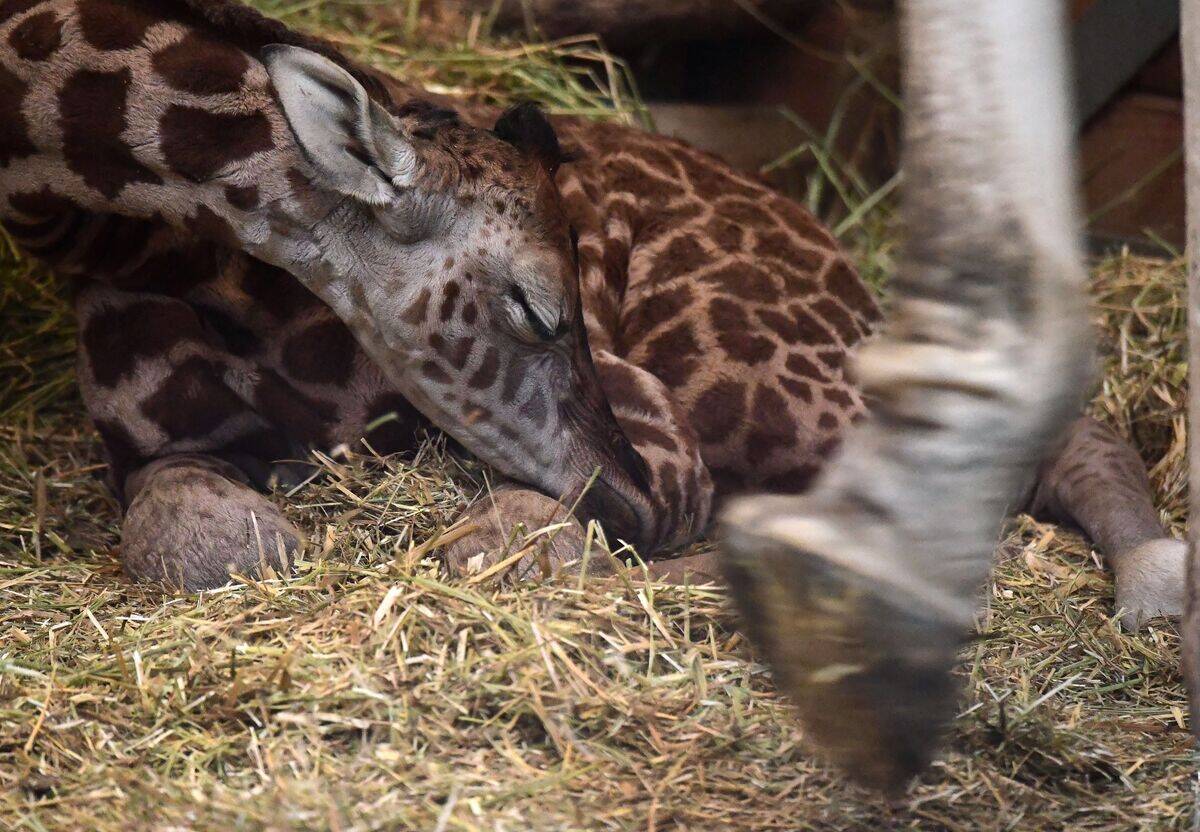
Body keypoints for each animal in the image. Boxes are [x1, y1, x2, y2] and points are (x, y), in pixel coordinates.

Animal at [0, 0, 1185, 631]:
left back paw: (1156, 590)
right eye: (531, 306)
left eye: (566, 299)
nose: (639, 490)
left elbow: (511, 545)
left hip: (741, 373)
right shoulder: (166, 449)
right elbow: (215, 546)